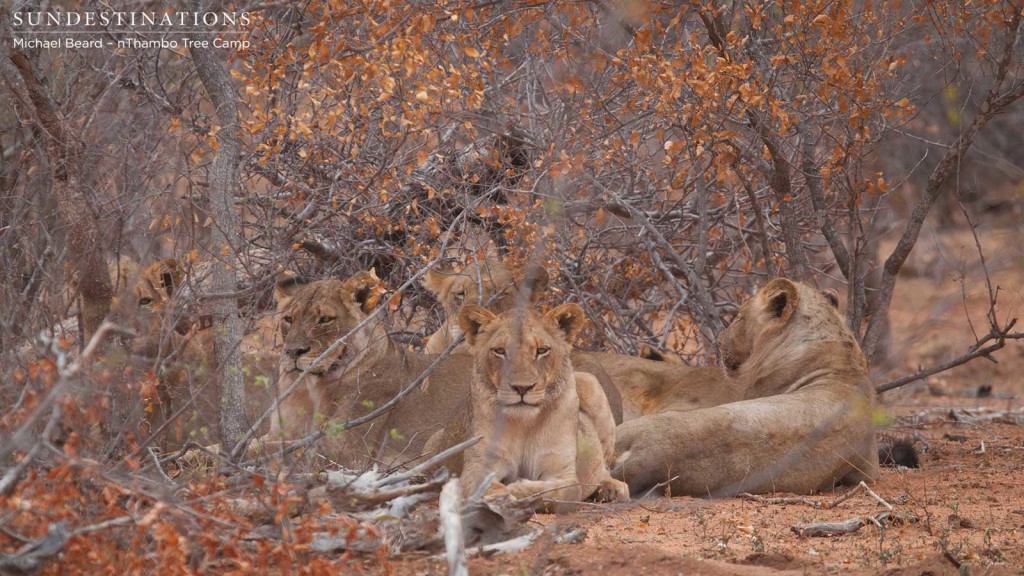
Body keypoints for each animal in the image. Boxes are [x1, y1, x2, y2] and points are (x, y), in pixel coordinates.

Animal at [458, 301, 630, 506]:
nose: (522, 388)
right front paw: (500, 496)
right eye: (499, 351)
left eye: (542, 351)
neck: (524, 425)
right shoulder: (477, 467)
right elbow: (481, 487)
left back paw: (611, 489)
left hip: (590, 382)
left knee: (605, 468)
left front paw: (517, 488)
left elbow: (555, 490)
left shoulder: (563, 473)